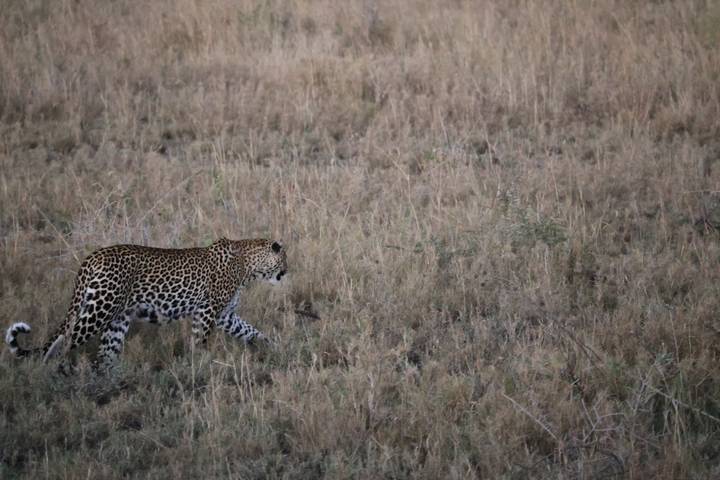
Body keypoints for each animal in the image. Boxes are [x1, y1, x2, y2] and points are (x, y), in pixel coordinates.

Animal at [5, 238, 287, 371]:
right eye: (284, 259)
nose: (287, 271)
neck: (248, 266)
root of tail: (92, 258)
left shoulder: (225, 315)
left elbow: (251, 330)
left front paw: (272, 346)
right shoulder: (207, 312)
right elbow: (201, 340)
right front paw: (200, 364)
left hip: (116, 320)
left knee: (105, 355)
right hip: (98, 309)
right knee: (64, 343)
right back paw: (56, 372)